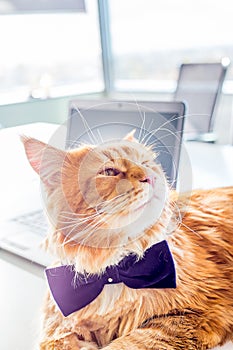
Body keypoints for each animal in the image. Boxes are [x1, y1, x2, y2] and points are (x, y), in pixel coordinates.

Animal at [22, 135, 233, 350]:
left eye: (145, 163)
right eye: (109, 172)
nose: (150, 177)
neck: (114, 269)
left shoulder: (194, 314)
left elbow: (127, 344)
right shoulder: (59, 328)